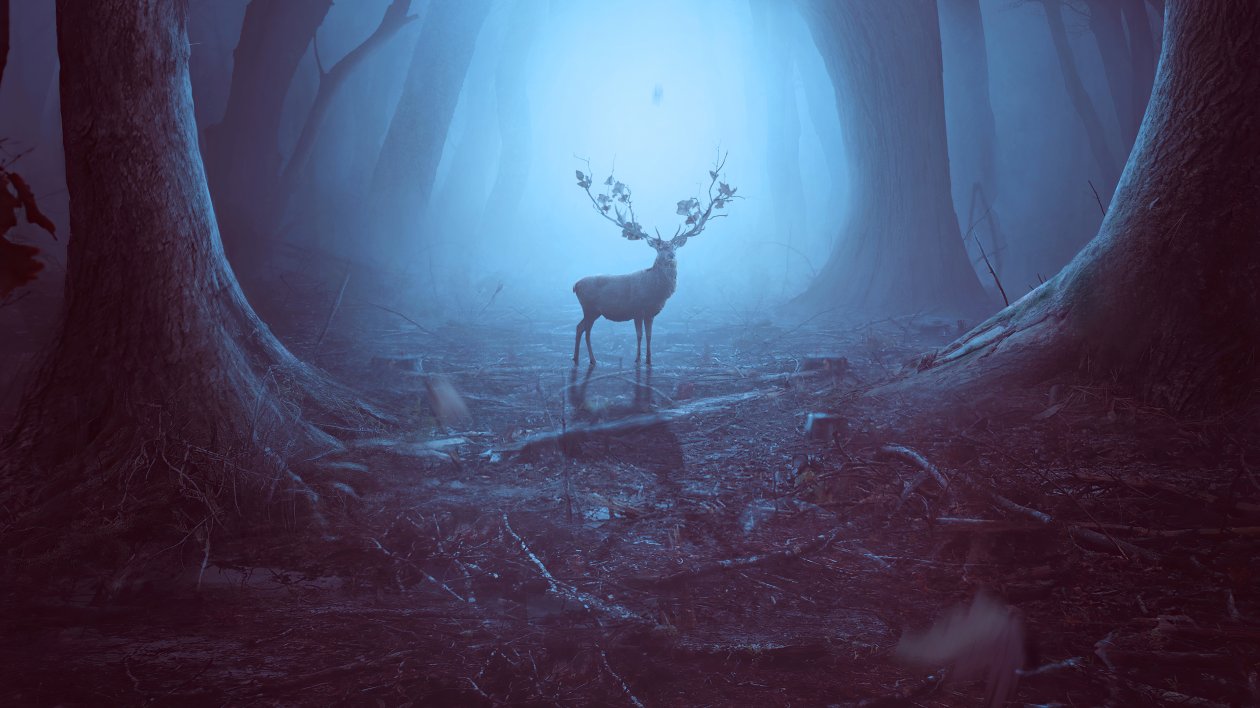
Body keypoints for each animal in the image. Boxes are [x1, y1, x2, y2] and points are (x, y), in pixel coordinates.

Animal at [572, 155, 738, 367]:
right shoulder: (637, 309)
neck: (655, 292)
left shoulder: (650, 313)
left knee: (582, 328)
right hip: (590, 307)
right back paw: (586, 359)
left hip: (593, 311)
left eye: (674, 247)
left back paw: (583, 358)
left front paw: (649, 359)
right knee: (582, 329)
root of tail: (575, 285)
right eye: (660, 248)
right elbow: (639, 336)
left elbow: (650, 336)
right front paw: (637, 359)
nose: (671, 256)